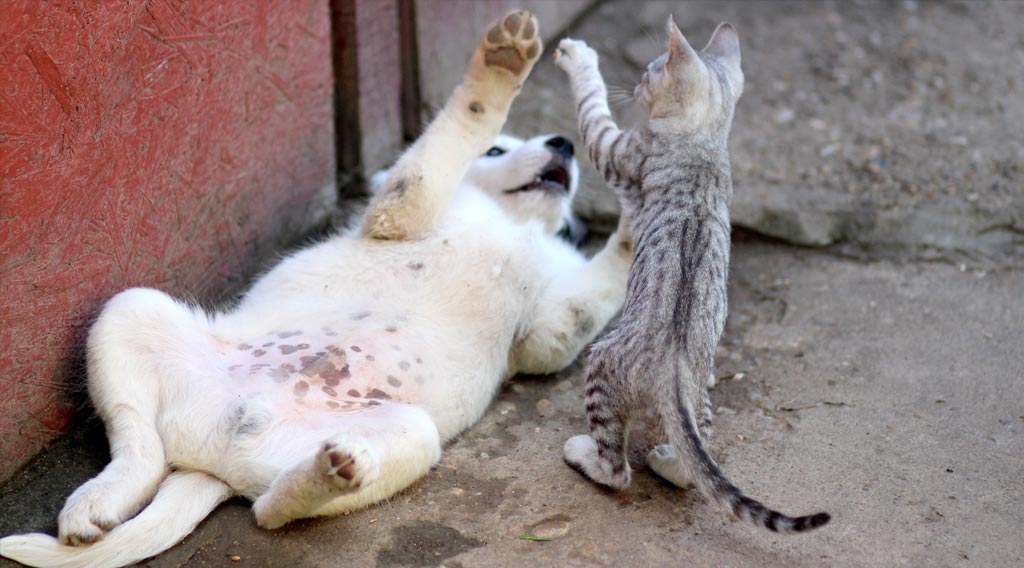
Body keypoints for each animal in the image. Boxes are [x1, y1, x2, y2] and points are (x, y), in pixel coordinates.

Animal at [552, 17, 831, 532]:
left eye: (649, 71)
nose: (636, 83)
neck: (704, 138)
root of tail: (672, 373)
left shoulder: (616, 149)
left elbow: (591, 106)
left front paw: (579, 58)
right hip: (701, 397)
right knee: (691, 466)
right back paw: (668, 459)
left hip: (600, 363)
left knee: (617, 470)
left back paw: (585, 455)